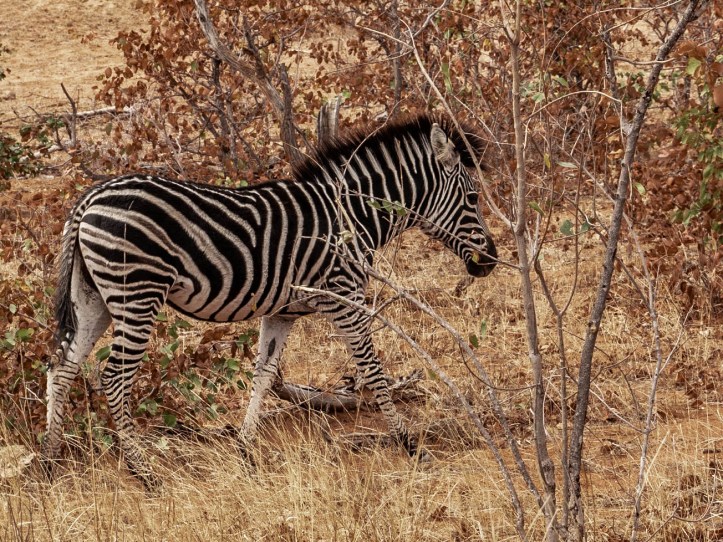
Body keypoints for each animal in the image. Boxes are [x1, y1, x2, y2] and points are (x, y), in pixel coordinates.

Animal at [43, 114, 497, 489]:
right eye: (474, 199)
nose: (490, 261)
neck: (351, 215)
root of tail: (89, 199)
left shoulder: (282, 313)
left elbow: (262, 375)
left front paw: (245, 451)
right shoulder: (345, 298)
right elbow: (373, 371)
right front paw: (410, 445)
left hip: (94, 300)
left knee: (61, 368)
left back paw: (51, 460)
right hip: (136, 294)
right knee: (113, 378)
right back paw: (144, 473)